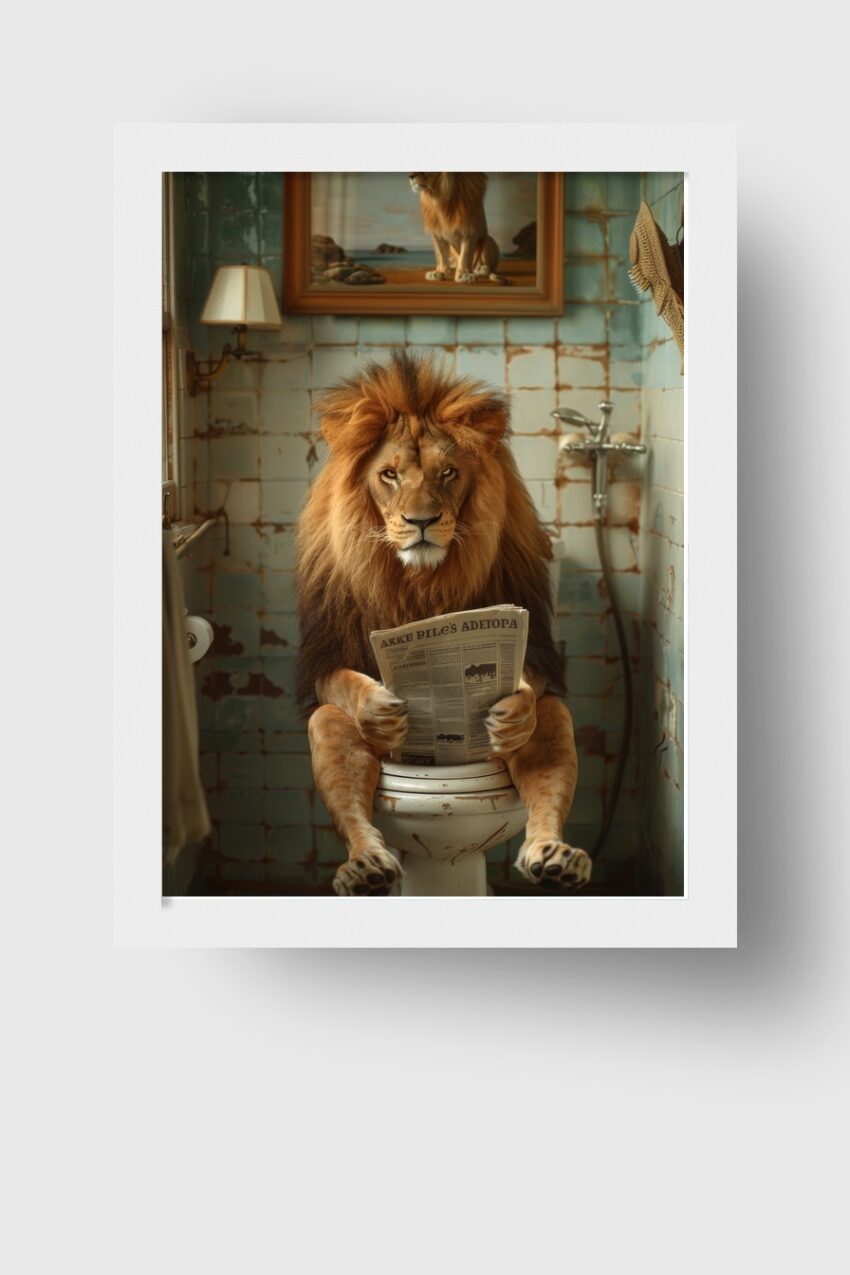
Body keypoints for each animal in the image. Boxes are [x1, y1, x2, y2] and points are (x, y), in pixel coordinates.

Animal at [295, 350, 590, 897]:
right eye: (390, 475)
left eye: (449, 472)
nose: (422, 521)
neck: (421, 581)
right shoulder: (326, 649)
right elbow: (344, 683)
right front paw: (377, 708)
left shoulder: (533, 632)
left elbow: (532, 680)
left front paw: (513, 710)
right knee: (333, 735)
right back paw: (365, 868)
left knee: (551, 721)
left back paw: (554, 858)